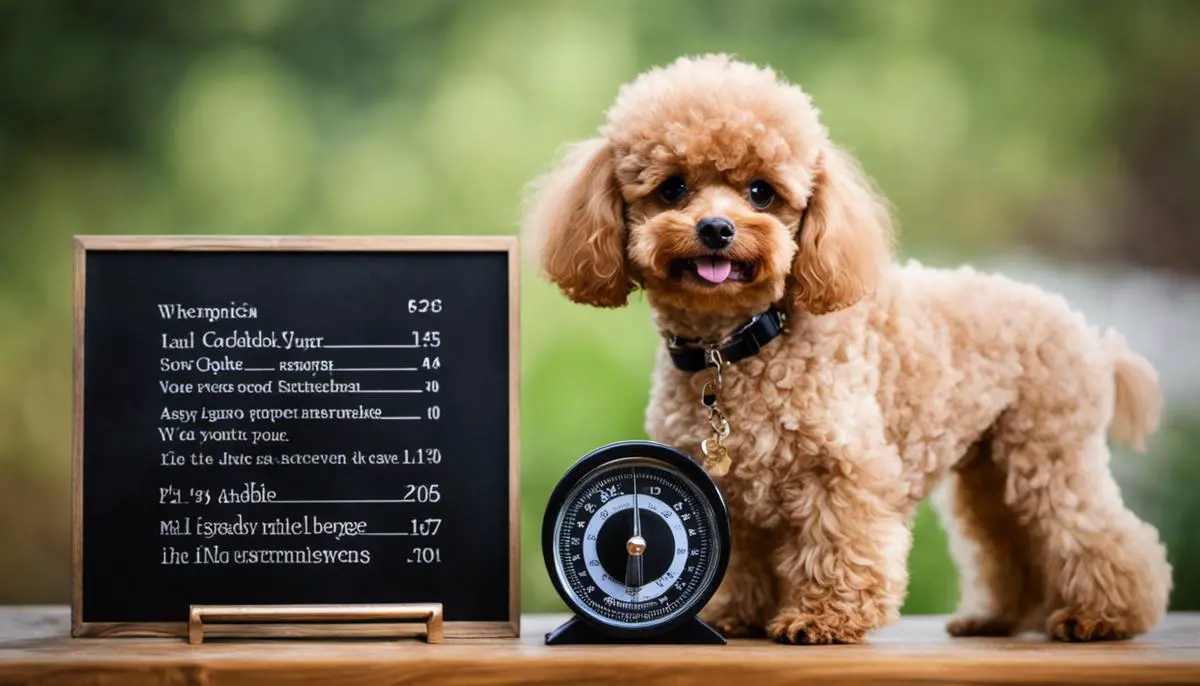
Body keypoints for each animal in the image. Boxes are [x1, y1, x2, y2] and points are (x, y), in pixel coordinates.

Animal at [525, 53, 1171, 642]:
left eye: (761, 193)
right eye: (674, 188)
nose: (716, 228)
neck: (738, 346)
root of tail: (1090, 336)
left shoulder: (843, 467)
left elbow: (837, 541)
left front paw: (821, 618)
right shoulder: (726, 486)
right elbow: (737, 559)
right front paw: (730, 615)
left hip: (1049, 454)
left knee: (1097, 532)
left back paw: (1102, 616)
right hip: (991, 469)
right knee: (1008, 542)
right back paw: (995, 618)